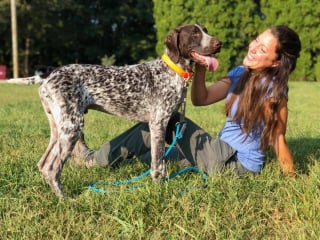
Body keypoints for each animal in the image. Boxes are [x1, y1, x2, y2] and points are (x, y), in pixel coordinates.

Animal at [37, 23, 221, 198]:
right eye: (194, 34)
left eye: (205, 30)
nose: (219, 43)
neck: (171, 71)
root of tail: (48, 78)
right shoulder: (158, 123)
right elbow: (158, 163)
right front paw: (160, 189)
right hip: (72, 127)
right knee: (52, 168)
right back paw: (65, 199)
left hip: (59, 129)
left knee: (43, 164)